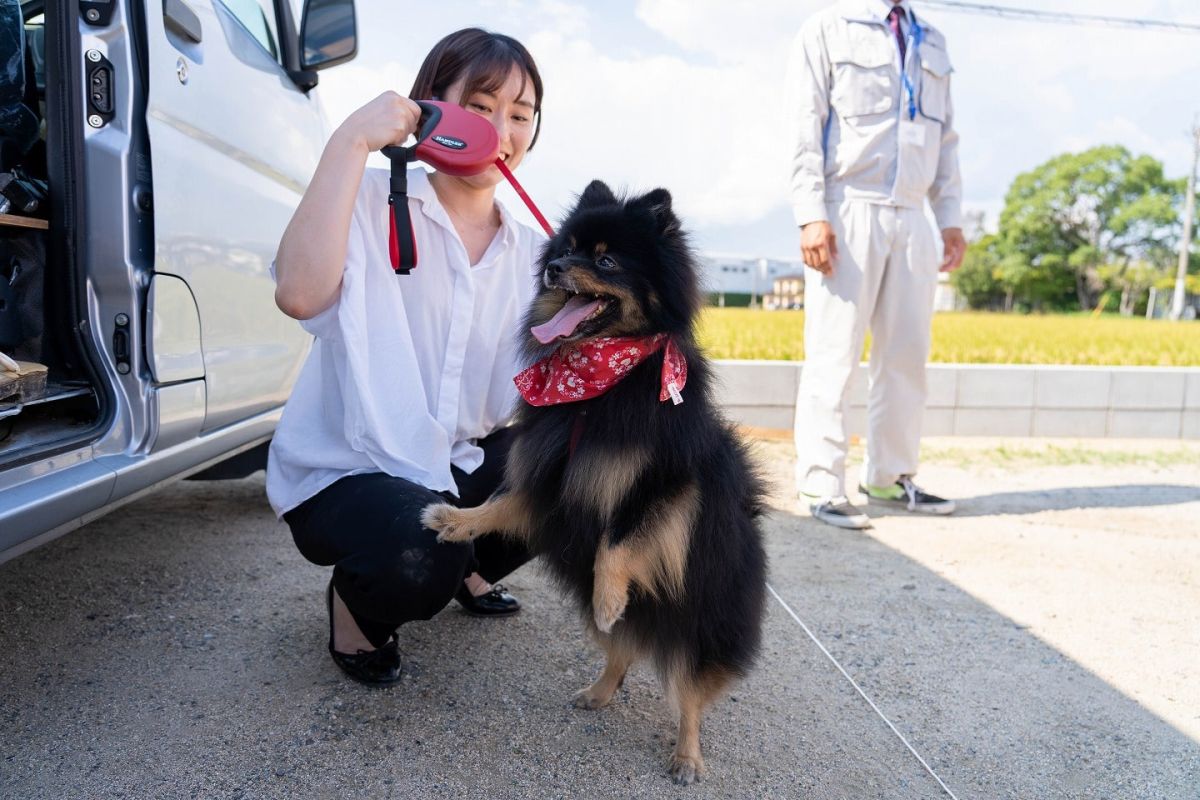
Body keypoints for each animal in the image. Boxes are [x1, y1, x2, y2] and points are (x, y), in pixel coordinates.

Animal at [422, 178, 768, 786]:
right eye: (567, 250)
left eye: (605, 260)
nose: (556, 267)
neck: (593, 387)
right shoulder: (548, 474)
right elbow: (498, 504)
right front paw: (454, 519)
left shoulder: (664, 484)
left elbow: (618, 539)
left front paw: (610, 595)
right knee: (621, 652)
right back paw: (599, 692)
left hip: (699, 626)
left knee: (689, 696)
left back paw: (687, 756)